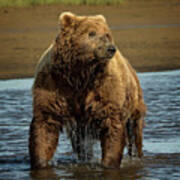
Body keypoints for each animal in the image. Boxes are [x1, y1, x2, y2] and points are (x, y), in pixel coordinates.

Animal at [28, 11, 146, 169]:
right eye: (92, 33)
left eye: (107, 34)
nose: (110, 48)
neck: (80, 74)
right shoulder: (54, 85)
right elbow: (45, 124)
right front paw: (40, 162)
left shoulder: (104, 89)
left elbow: (112, 124)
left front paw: (109, 163)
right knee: (80, 143)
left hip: (133, 100)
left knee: (135, 130)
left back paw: (137, 156)